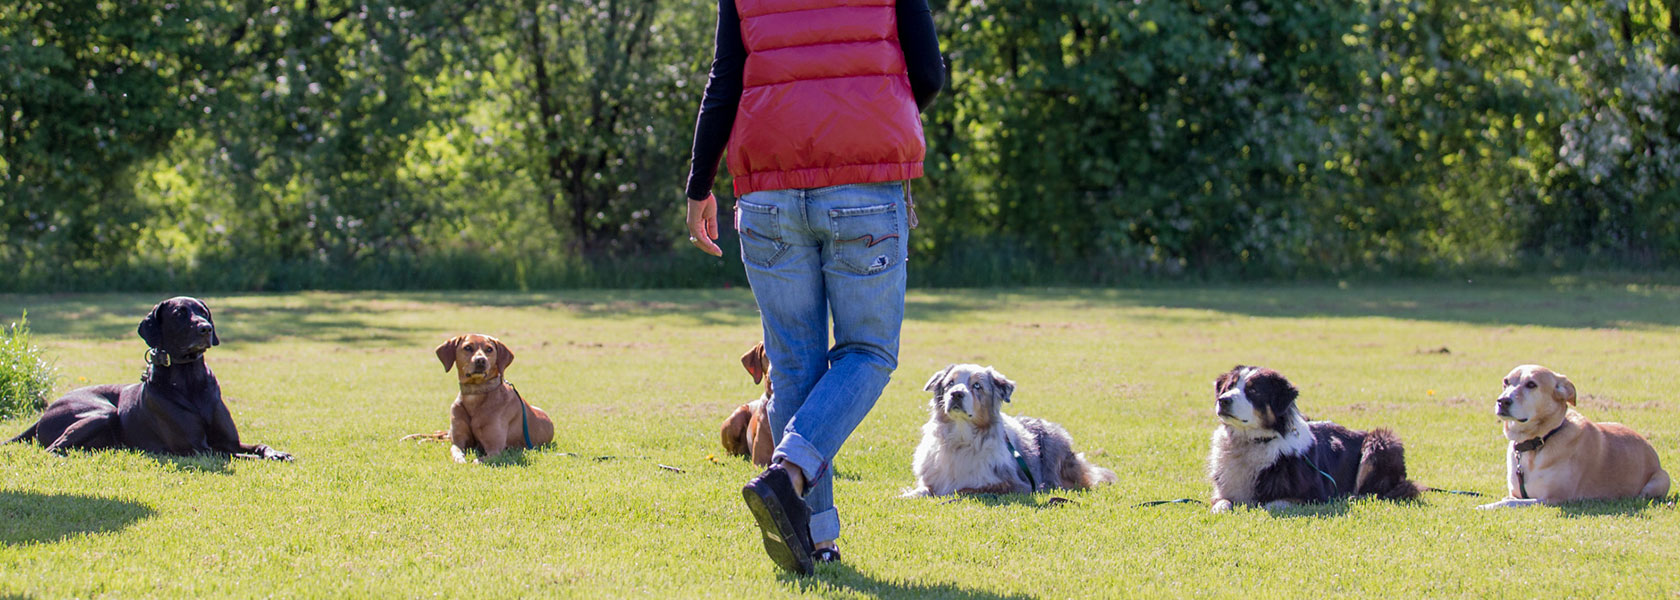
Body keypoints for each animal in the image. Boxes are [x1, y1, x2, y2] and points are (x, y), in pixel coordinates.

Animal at [423, 331, 554, 463]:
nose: (480, 360)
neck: (475, 393)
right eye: (468, 347)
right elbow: (456, 452)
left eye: (489, 349)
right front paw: (460, 460)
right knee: (442, 435)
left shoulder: (495, 449)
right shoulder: (458, 442)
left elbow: (478, 461)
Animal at [1485, 363, 1666, 507]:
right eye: (1506, 382)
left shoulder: (1553, 499)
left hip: (1660, 480)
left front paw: (1485, 507)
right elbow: (1509, 498)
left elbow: (1507, 502)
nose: (1502, 401)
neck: (1538, 442)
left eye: (1531, 384)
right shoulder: (1517, 493)